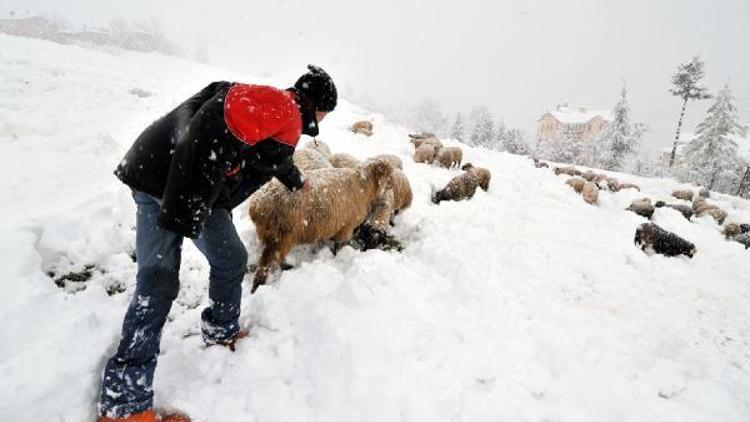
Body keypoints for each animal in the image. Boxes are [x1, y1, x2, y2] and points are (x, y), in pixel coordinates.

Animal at [251, 157, 396, 292]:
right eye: (388, 174)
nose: (393, 188)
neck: (363, 185)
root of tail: (256, 206)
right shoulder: (346, 227)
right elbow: (340, 246)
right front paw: (338, 257)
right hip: (281, 235)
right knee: (266, 263)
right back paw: (258, 285)